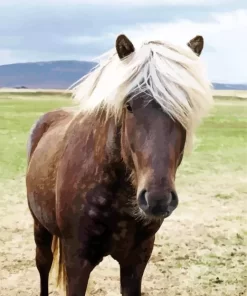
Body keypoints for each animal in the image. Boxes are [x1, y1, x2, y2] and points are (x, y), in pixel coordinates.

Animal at [26, 33, 213, 294]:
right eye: (129, 106)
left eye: (186, 108)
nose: (157, 199)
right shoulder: (77, 261)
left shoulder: (136, 260)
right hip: (40, 227)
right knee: (43, 265)